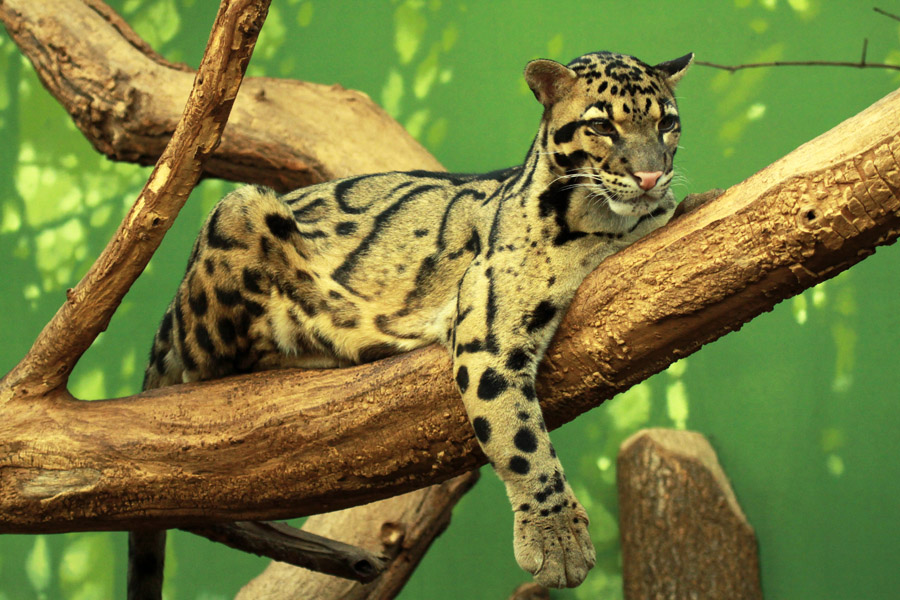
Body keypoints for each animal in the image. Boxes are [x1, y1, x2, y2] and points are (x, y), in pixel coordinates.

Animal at [133, 50, 694, 594]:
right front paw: (556, 539)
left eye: (667, 123)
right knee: (207, 369)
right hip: (238, 209)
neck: (607, 222)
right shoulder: (488, 334)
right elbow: (519, 437)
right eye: (601, 126)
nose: (650, 177)